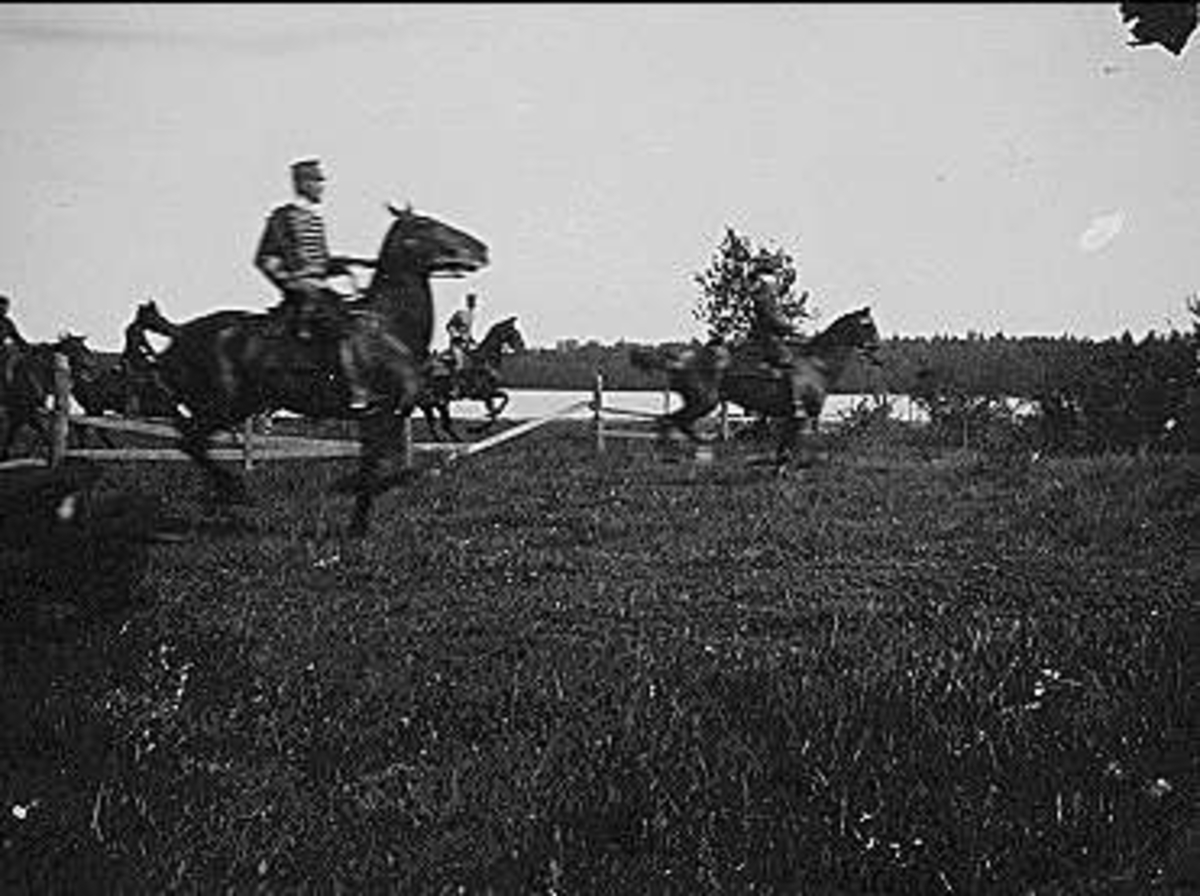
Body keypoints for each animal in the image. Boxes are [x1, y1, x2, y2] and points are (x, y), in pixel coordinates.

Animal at [152, 204, 488, 535]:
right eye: (425, 224)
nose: (481, 249)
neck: (389, 328)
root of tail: (180, 333)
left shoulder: (385, 415)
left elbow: (382, 464)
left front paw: (358, 522)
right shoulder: (377, 413)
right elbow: (383, 466)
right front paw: (347, 492)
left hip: (234, 406)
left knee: (193, 442)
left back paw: (221, 497)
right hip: (223, 406)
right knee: (190, 441)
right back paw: (232, 491)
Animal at [631, 307, 882, 467]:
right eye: (868, 326)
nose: (878, 349)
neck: (817, 364)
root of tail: (680, 359)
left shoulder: (793, 417)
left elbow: (785, 447)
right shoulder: (801, 415)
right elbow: (792, 446)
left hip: (698, 402)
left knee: (672, 422)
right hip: (704, 402)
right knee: (672, 421)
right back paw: (692, 449)